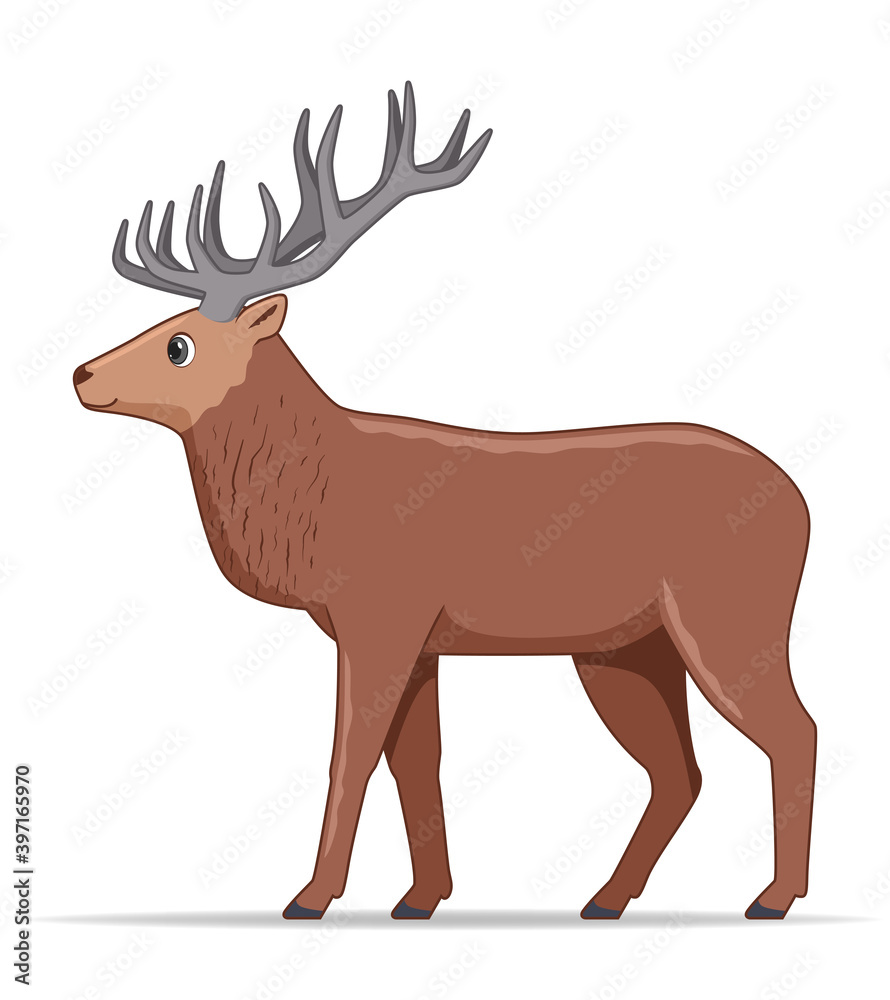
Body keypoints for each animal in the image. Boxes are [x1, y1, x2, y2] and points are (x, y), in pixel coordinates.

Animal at [73, 82, 816, 922]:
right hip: (625, 649)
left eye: (180, 344)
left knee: (794, 732)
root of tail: (804, 504)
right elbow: (416, 763)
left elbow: (351, 757)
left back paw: (773, 897)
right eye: (159, 325)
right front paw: (421, 897)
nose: (81, 374)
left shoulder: (381, 614)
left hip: (730, 617)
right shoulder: (422, 640)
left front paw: (312, 896)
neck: (319, 497)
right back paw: (606, 898)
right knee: (679, 772)